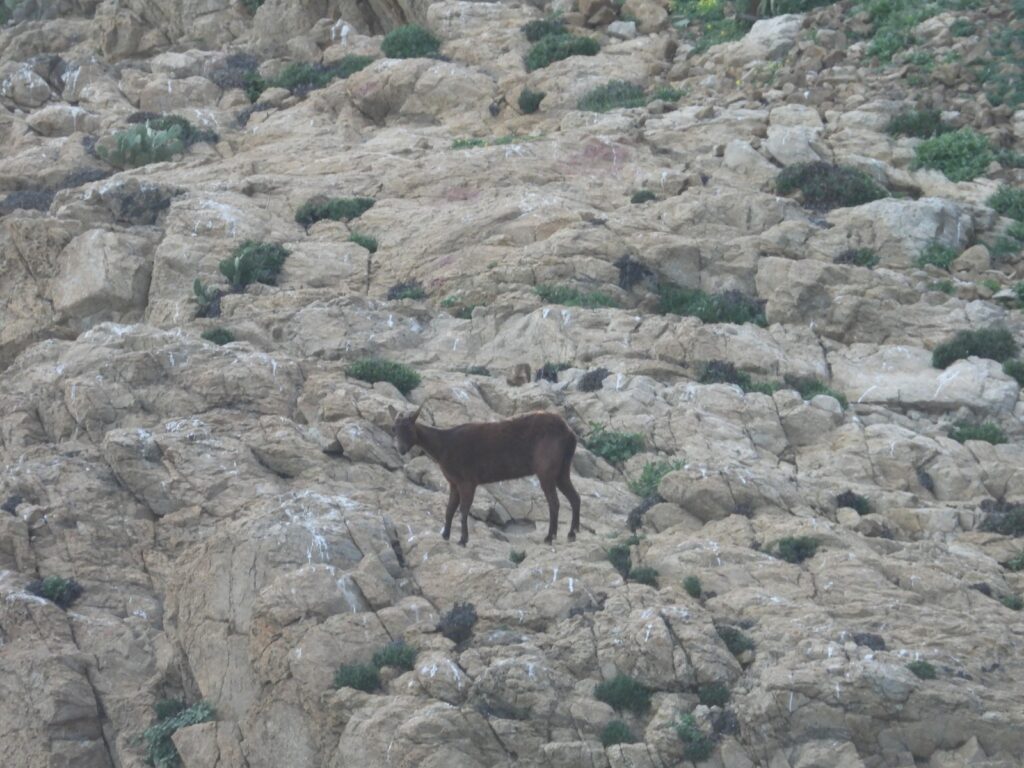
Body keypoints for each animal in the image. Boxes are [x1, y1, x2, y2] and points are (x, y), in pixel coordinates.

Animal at [391, 409, 581, 548]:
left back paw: (550, 537)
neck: (443, 446)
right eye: (395, 430)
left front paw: (463, 540)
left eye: (409, 428)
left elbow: (463, 510)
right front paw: (445, 535)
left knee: (554, 502)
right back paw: (572, 533)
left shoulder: (468, 481)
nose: (401, 449)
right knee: (575, 497)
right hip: (562, 469)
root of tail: (570, 433)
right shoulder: (454, 482)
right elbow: (450, 509)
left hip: (546, 470)